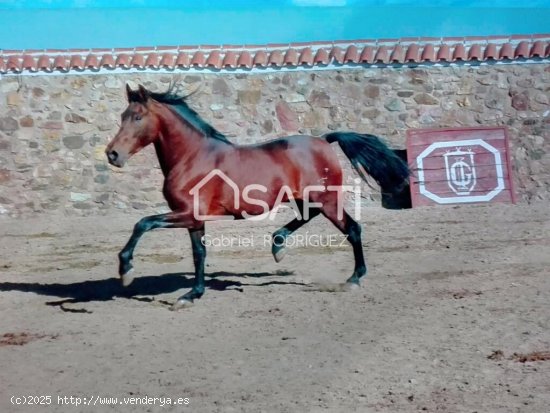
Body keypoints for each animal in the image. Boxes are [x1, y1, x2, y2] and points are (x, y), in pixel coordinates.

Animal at [106, 84, 410, 308]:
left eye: (137, 117)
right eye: (121, 116)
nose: (112, 154)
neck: (192, 157)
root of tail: (324, 141)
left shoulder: (187, 214)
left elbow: (143, 223)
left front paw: (126, 271)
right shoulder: (194, 219)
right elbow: (199, 254)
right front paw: (192, 295)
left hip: (327, 200)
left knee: (353, 229)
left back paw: (353, 279)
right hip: (308, 198)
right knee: (308, 217)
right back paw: (278, 245)